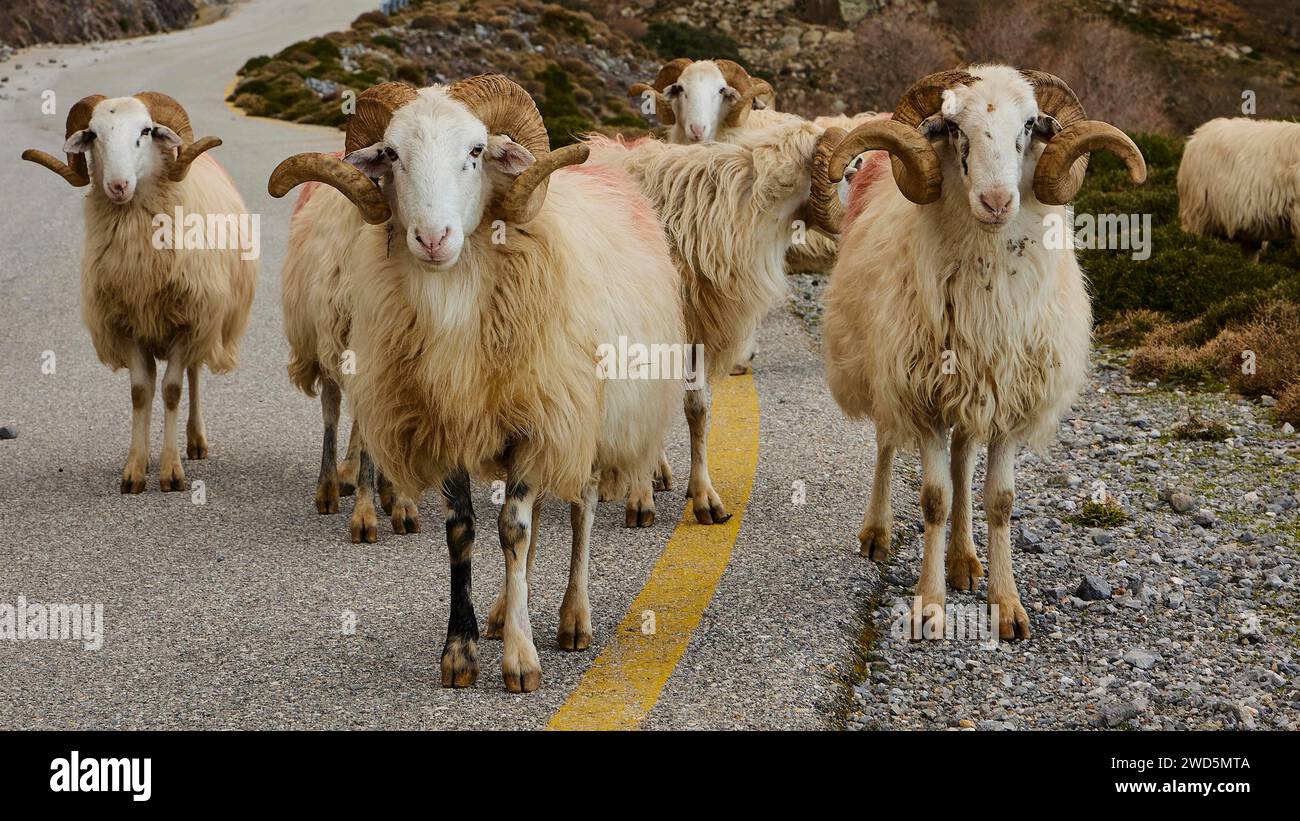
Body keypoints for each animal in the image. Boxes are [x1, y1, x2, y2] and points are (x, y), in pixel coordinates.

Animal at [23, 94, 253, 493]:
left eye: (145, 131)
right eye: (93, 134)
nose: (117, 185)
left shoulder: (188, 322)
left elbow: (173, 390)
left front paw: (171, 472)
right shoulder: (126, 325)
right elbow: (141, 392)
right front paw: (134, 469)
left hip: (206, 318)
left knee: (194, 373)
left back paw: (196, 441)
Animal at [267, 78, 686, 691]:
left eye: (476, 151)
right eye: (392, 154)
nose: (432, 237)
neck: (455, 303)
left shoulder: (541, 419)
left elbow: (512, 530)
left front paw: (521, 658)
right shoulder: (446, 424)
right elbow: (464, 531)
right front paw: (461, 651)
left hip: (589, 417)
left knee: (579, 507)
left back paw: (572, 618)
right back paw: (499, 612)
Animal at [587, 117, 842, 522]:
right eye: (852, 168)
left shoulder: (697, 330)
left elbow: (697, 411)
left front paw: (703, 495)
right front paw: (640, 498)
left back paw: (658, 472)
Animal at [816, 65, 1144, 641]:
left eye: (1031, 125)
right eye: (952, 128)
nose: (996, 202)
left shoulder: (1010, 400)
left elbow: (999, 501)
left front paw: (1006, 604)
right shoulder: (919, 395)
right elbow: (934, 499)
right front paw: (929, 604)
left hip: (972, 389)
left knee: (964, 461)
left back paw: (965, 561)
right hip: (879, 369)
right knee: (886, 445)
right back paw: (877, 532)